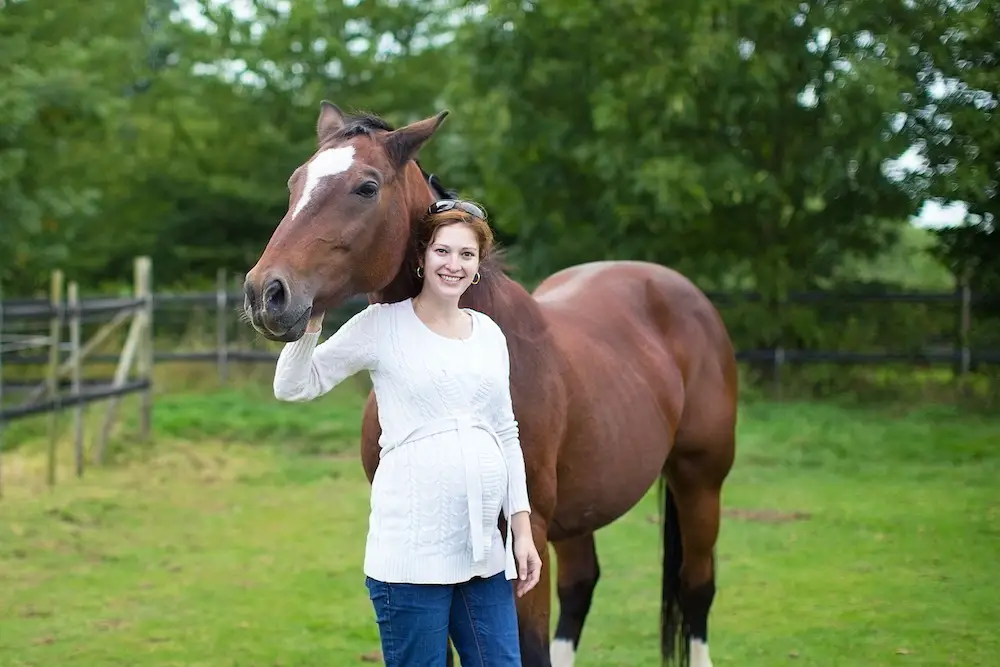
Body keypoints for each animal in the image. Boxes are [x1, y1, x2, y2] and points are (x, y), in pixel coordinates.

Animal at [245, 100, 740, 667]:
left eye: (366, 187)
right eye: (295, 182)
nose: (266, 293)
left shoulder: (526, 538)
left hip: (698, 482)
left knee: (696, 588)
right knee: (582, 586)